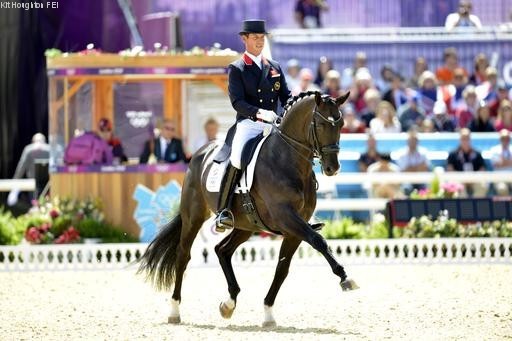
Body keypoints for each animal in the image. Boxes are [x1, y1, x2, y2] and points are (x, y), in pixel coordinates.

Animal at [138, 90, 358, 326]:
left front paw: (268, 312)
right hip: (193, 217)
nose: (333, 168)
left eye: (341, 123)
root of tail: (201, 153)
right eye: (321, 124)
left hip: (246, 225)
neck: (287, 160)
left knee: (222, 250)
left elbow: (282, 268)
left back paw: (229, 303)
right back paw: (174, 310)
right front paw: (345, 277)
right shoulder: (286, 217)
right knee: (183, 255)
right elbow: (318, 241)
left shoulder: (295, 228)